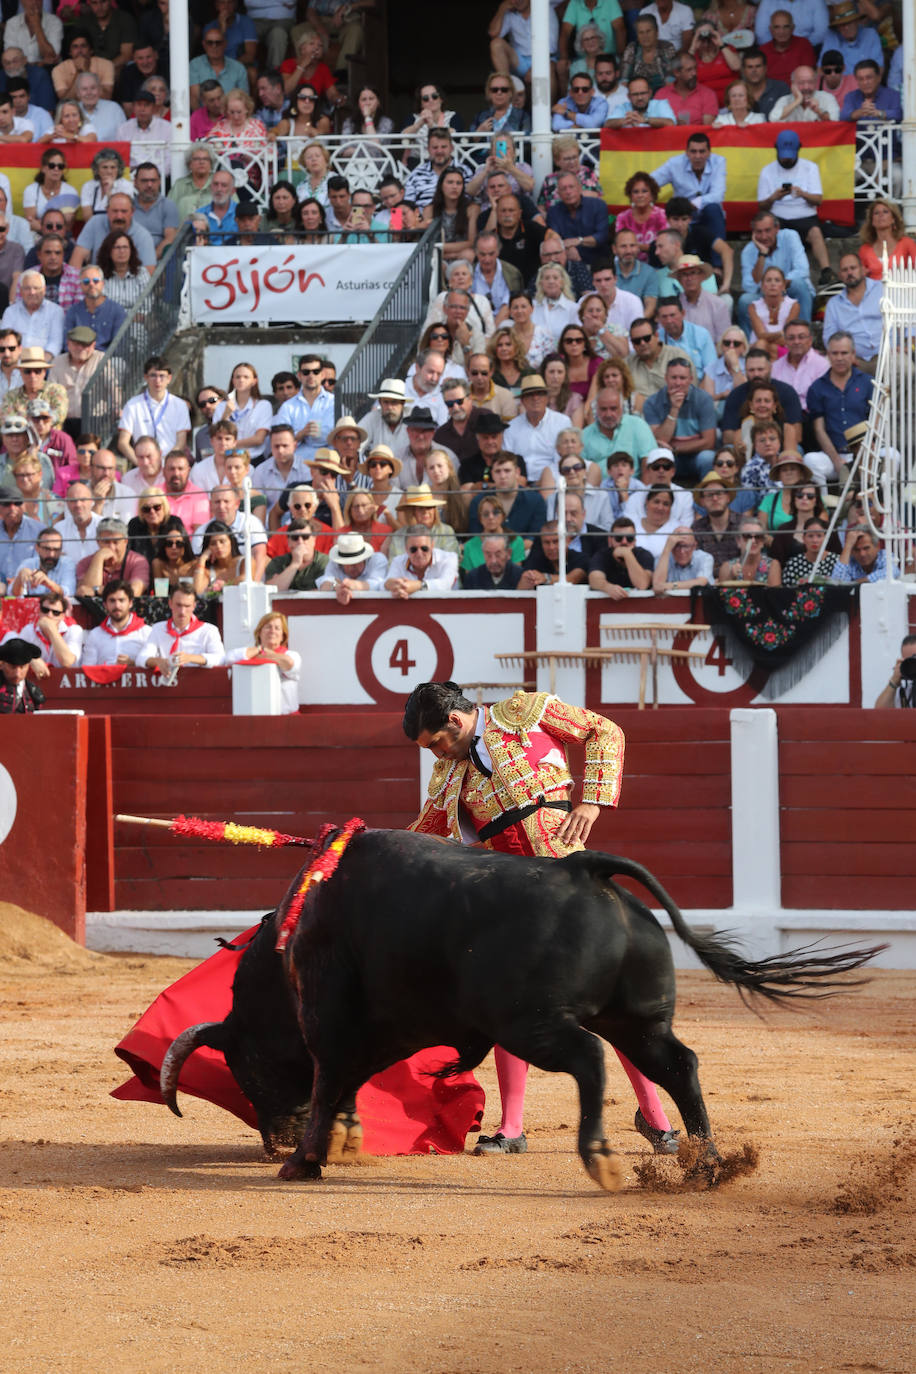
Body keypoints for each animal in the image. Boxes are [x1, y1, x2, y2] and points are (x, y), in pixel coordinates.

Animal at [159, 824, 878, 1192]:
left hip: (531, 1021)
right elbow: (349, 1084)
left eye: (245, 1069)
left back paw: (602, 1158)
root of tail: (583, 870)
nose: (270, 1140)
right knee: (676, 1063)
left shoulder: (330, 1024)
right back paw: (704, 1165)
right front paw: (343, 1139)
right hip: (637, 1018)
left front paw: (304, 1159)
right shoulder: (373, 1033)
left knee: (590, 1059)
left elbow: (330, 1076)